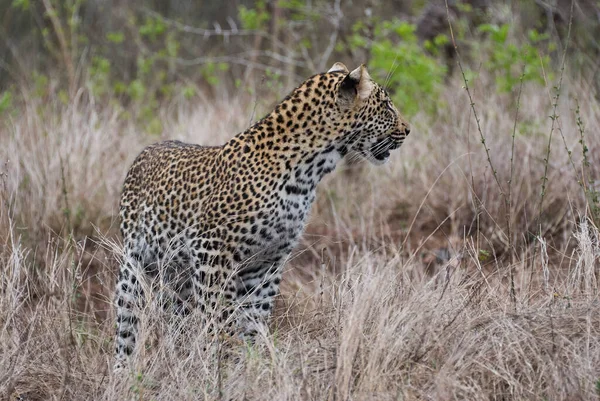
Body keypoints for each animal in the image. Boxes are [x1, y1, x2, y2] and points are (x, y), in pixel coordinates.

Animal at [114, 61, 410, 370]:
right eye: (387, 107)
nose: (408, 130)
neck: (309, 172)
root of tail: (147, 149)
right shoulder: (211, 250)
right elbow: (218, 317)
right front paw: (216, 364)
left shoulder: (267, 261)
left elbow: (254, 320)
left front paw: (247, 366)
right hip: (134, 268)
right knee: (127, 326)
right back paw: (123, 373)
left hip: (178, 275)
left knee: (177, 319)